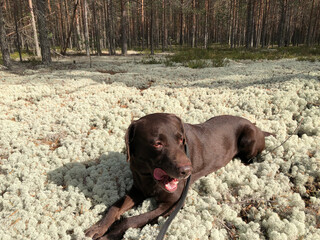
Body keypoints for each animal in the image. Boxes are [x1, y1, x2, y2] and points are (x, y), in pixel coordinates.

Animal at [85, 113, 272, 239]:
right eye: (157, 143)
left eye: (181, 140)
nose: (187, 170)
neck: (148, 176)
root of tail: (257, 127)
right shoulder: (138, 189)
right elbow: (114, 207)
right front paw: (97, 228)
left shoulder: (171, 204)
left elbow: (131, 220)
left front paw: (108, 235)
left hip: (249, 137)